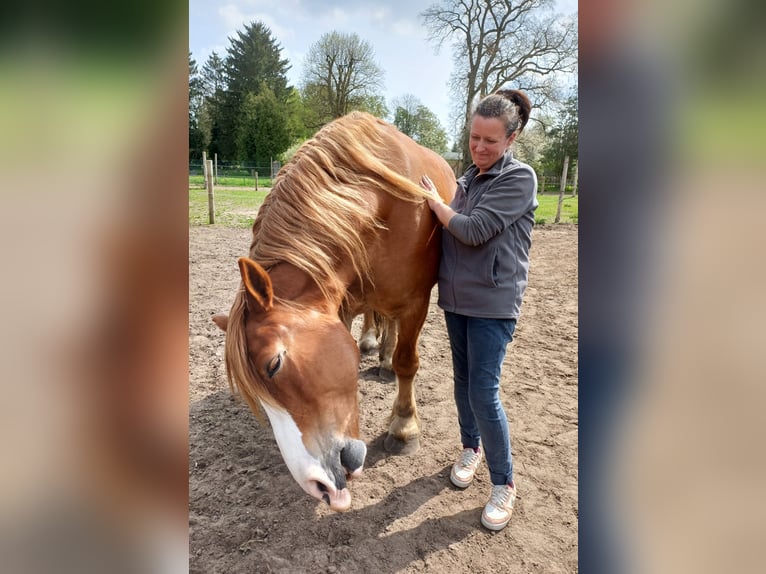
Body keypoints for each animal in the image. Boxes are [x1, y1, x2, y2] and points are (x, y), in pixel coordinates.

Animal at [212, 111, 455, 512]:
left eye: (274, 364)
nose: (317, 485)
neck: (379, 201)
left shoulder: (416, 299)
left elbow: (408, 362)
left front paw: (404, 427)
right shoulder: (340, 303)